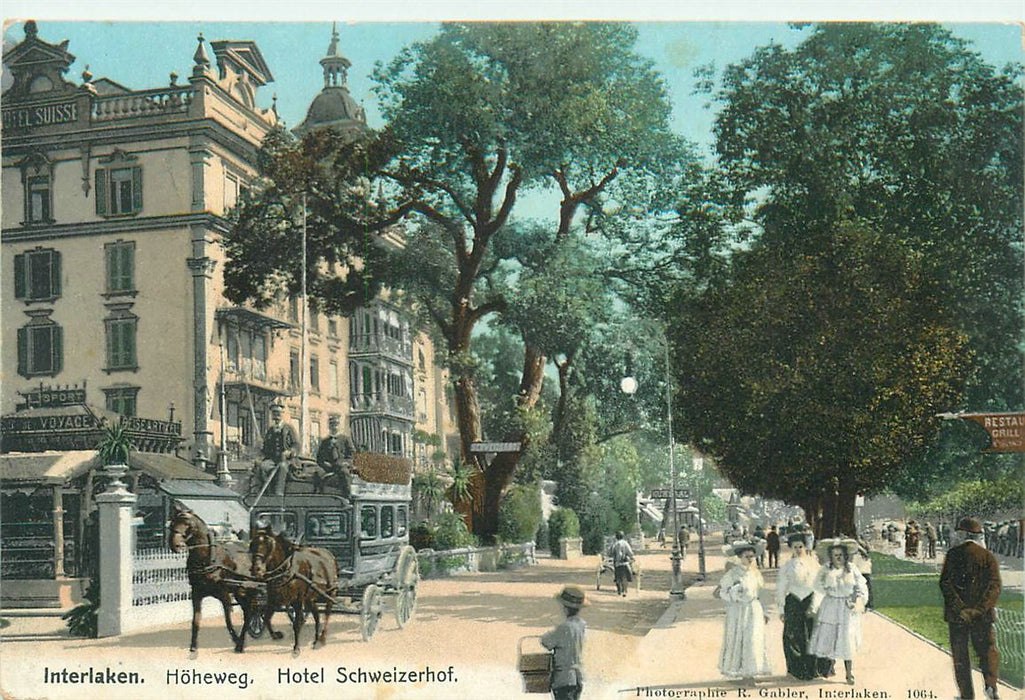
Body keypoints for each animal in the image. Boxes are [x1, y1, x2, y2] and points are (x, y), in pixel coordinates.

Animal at [169, 506, 278, 655]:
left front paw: (236, 639)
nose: (175, 545)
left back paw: (241, 643)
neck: (207, 560)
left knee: (251, 613)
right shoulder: (196, 594)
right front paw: (193, 647)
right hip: (240, 593)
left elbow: (227, 620)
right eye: (172, 523)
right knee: (253, 612)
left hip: (246, 591)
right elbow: (195, 621)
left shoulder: (224, 594)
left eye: (188, 524)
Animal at [242, 524, 336, 655]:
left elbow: (297, 624)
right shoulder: (273, 599)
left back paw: (322, 638)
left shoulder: (298, 600)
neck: (287, 570)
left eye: (268, 545)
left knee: (327, 613)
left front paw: (296, 647)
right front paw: (276, 635)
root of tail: (328, 553)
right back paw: (316, 639)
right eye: (252, 544)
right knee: (317, 616)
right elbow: (266, 618)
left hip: (330, 593)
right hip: (310, 598)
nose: (256, 569)